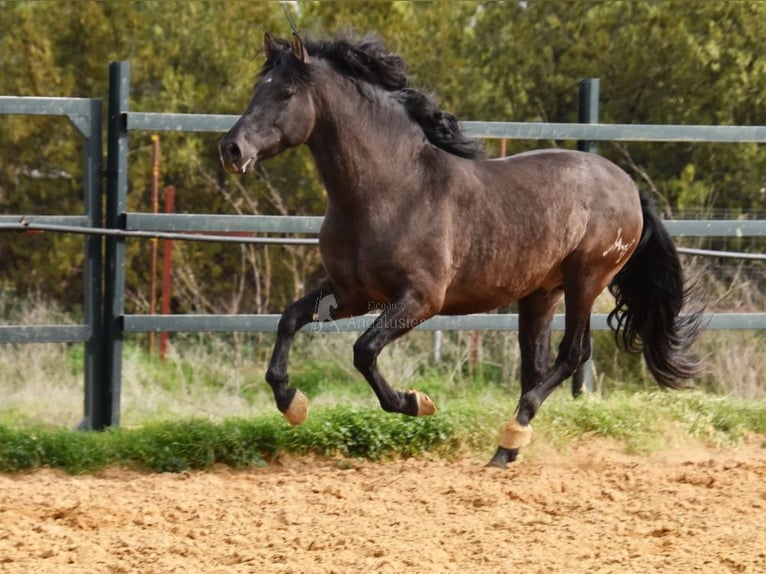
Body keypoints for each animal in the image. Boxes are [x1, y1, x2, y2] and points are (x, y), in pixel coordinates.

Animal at [219, 33, 704, 468]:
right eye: (257, 89)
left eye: (285, 93)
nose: (231, 149)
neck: (390, 190)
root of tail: (628, 187)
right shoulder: (351, 294)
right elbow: (289, 321)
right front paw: (291, 403)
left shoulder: (421, 300)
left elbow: (364, 350)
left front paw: (416, 402)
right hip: (540, 293)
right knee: (536, 364)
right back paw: (509, 448)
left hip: (585, 279)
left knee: (572, 354)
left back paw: (509, 438)